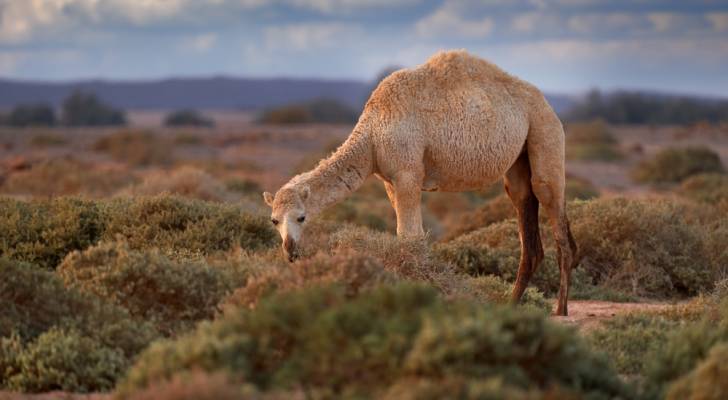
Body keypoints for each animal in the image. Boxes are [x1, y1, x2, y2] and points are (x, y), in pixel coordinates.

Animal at [264, 50, 576, 316]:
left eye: (301, 217)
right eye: (274, 220)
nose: (290, 251)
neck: (372, 136)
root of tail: (545, 102)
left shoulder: (408, 173)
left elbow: (410, 236)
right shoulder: (389, 181)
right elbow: (407, 236)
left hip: (545, 133)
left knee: (555, 213)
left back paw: (560, 310)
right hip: (518, 162)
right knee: (527, 219)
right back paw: (510, 306)